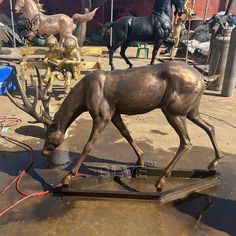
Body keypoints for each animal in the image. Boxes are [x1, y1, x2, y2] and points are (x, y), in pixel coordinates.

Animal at [6, 61, 223, 191]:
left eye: (49, 135)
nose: (43, 152)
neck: (84, 94)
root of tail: (203, 78)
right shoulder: (115, 112)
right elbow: (126, 134)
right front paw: (140, 161)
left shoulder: (102, 114)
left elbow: (88, 145)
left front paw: (67, 177)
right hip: (191, 109)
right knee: (210, 127)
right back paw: (213, 163)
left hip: (174, 110)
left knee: (186, 141)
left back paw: (160, 181)